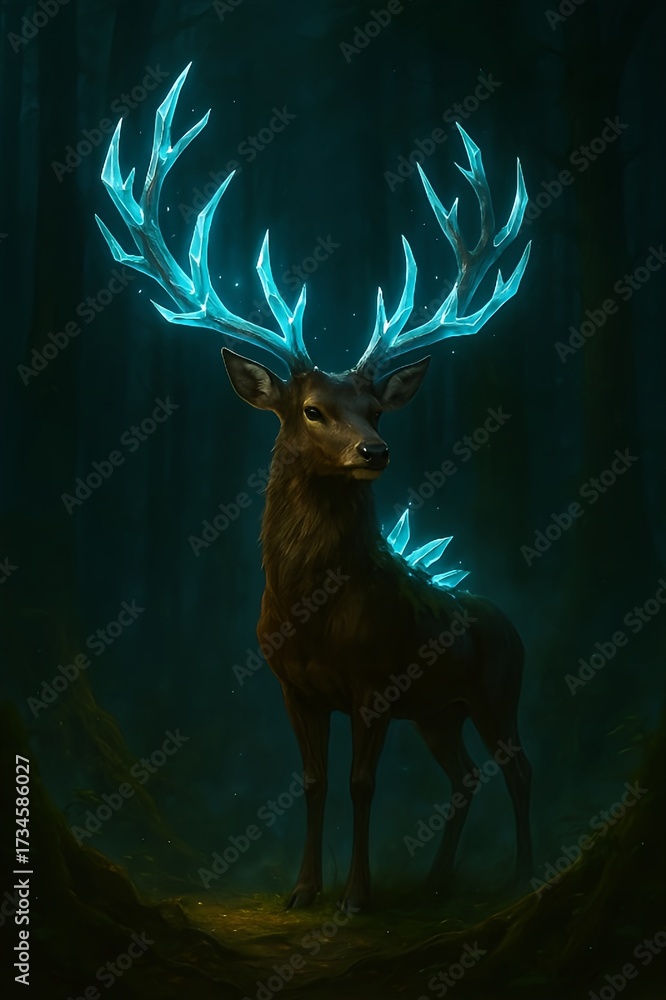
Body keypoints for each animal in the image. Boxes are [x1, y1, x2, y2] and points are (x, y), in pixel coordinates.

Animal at [97, 64, 533, 912]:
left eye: (375, 407)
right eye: (311, 409)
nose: (376, 450)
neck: (313, 615)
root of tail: (509, 618)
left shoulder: (375, 682)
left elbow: (363, 784)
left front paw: (357, 897)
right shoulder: (294, 688)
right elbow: (310, 781)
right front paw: (303, 890)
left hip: (498, 688)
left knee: (519, 769)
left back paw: (529, 879)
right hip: (441, 711)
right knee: (465, 777)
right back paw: (436, 883)